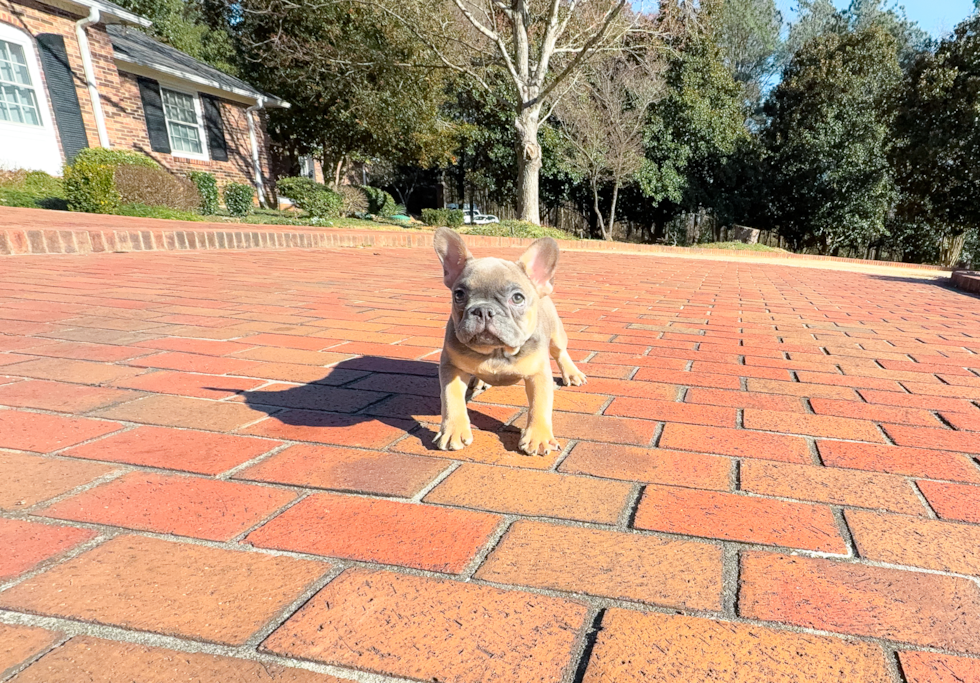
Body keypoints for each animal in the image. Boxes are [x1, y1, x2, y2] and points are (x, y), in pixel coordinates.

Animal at [432, 227, 584, 456]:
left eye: (517, 298)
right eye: (459, 294)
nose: (483, 310)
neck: (496, 351)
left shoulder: (538, 373)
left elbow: (539, 405)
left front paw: (538, 437)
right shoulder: (451, 367)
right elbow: (451, 399)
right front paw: (453, 432)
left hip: (557, 334)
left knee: (560, 352)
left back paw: (573, 374)